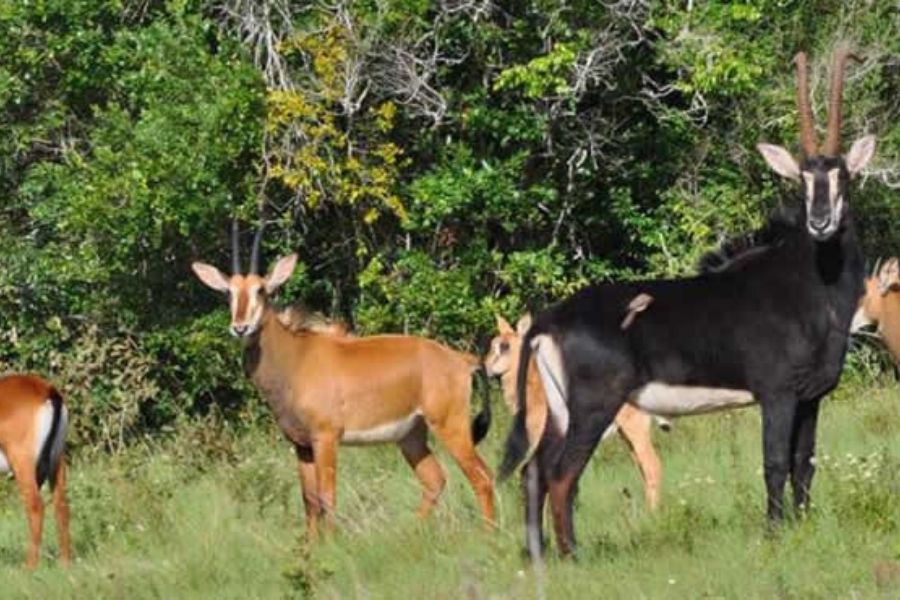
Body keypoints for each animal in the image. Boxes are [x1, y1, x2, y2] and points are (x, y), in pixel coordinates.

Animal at [0, 376, 71, 568]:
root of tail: (47, 390)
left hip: (23, 464)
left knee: (36, 506)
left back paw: (29, 566)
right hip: (57, 460)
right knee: (61, 504)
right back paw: (65, 563)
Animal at [192, 226, 500, 540]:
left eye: (261, 290)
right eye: (228, 292)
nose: (240, 327)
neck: (296, 358)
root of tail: (462, 360)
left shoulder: (326, 438)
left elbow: (327, 496)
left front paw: (332, 544)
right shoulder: (301, 445)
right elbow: (309, 501)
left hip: (451, 427)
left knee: (482, 477)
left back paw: (489, 536)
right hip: (411, 436)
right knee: (435, 480)